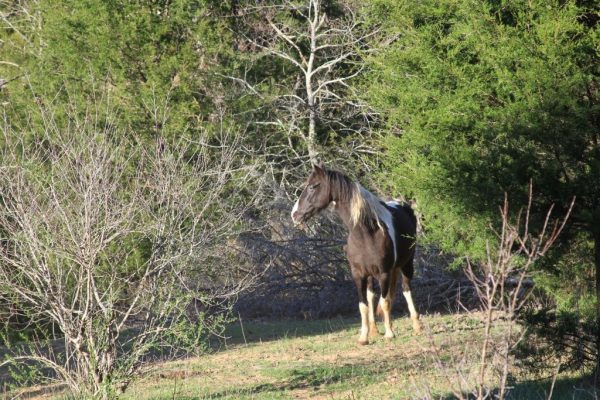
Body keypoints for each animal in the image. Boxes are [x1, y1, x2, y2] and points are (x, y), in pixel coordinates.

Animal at [292, 164, 422, 346]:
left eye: (312, 186)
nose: (294, 214)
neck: (366, 234)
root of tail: (402, 205)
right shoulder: (358, 274)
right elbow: (363, 305)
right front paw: (364, 337)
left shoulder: (384, 273)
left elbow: (385, 302)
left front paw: (389, 334)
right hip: (372, 275)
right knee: (372, 295)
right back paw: (374, 330)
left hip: (406, 264)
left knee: (406, 289)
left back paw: (417, 326)